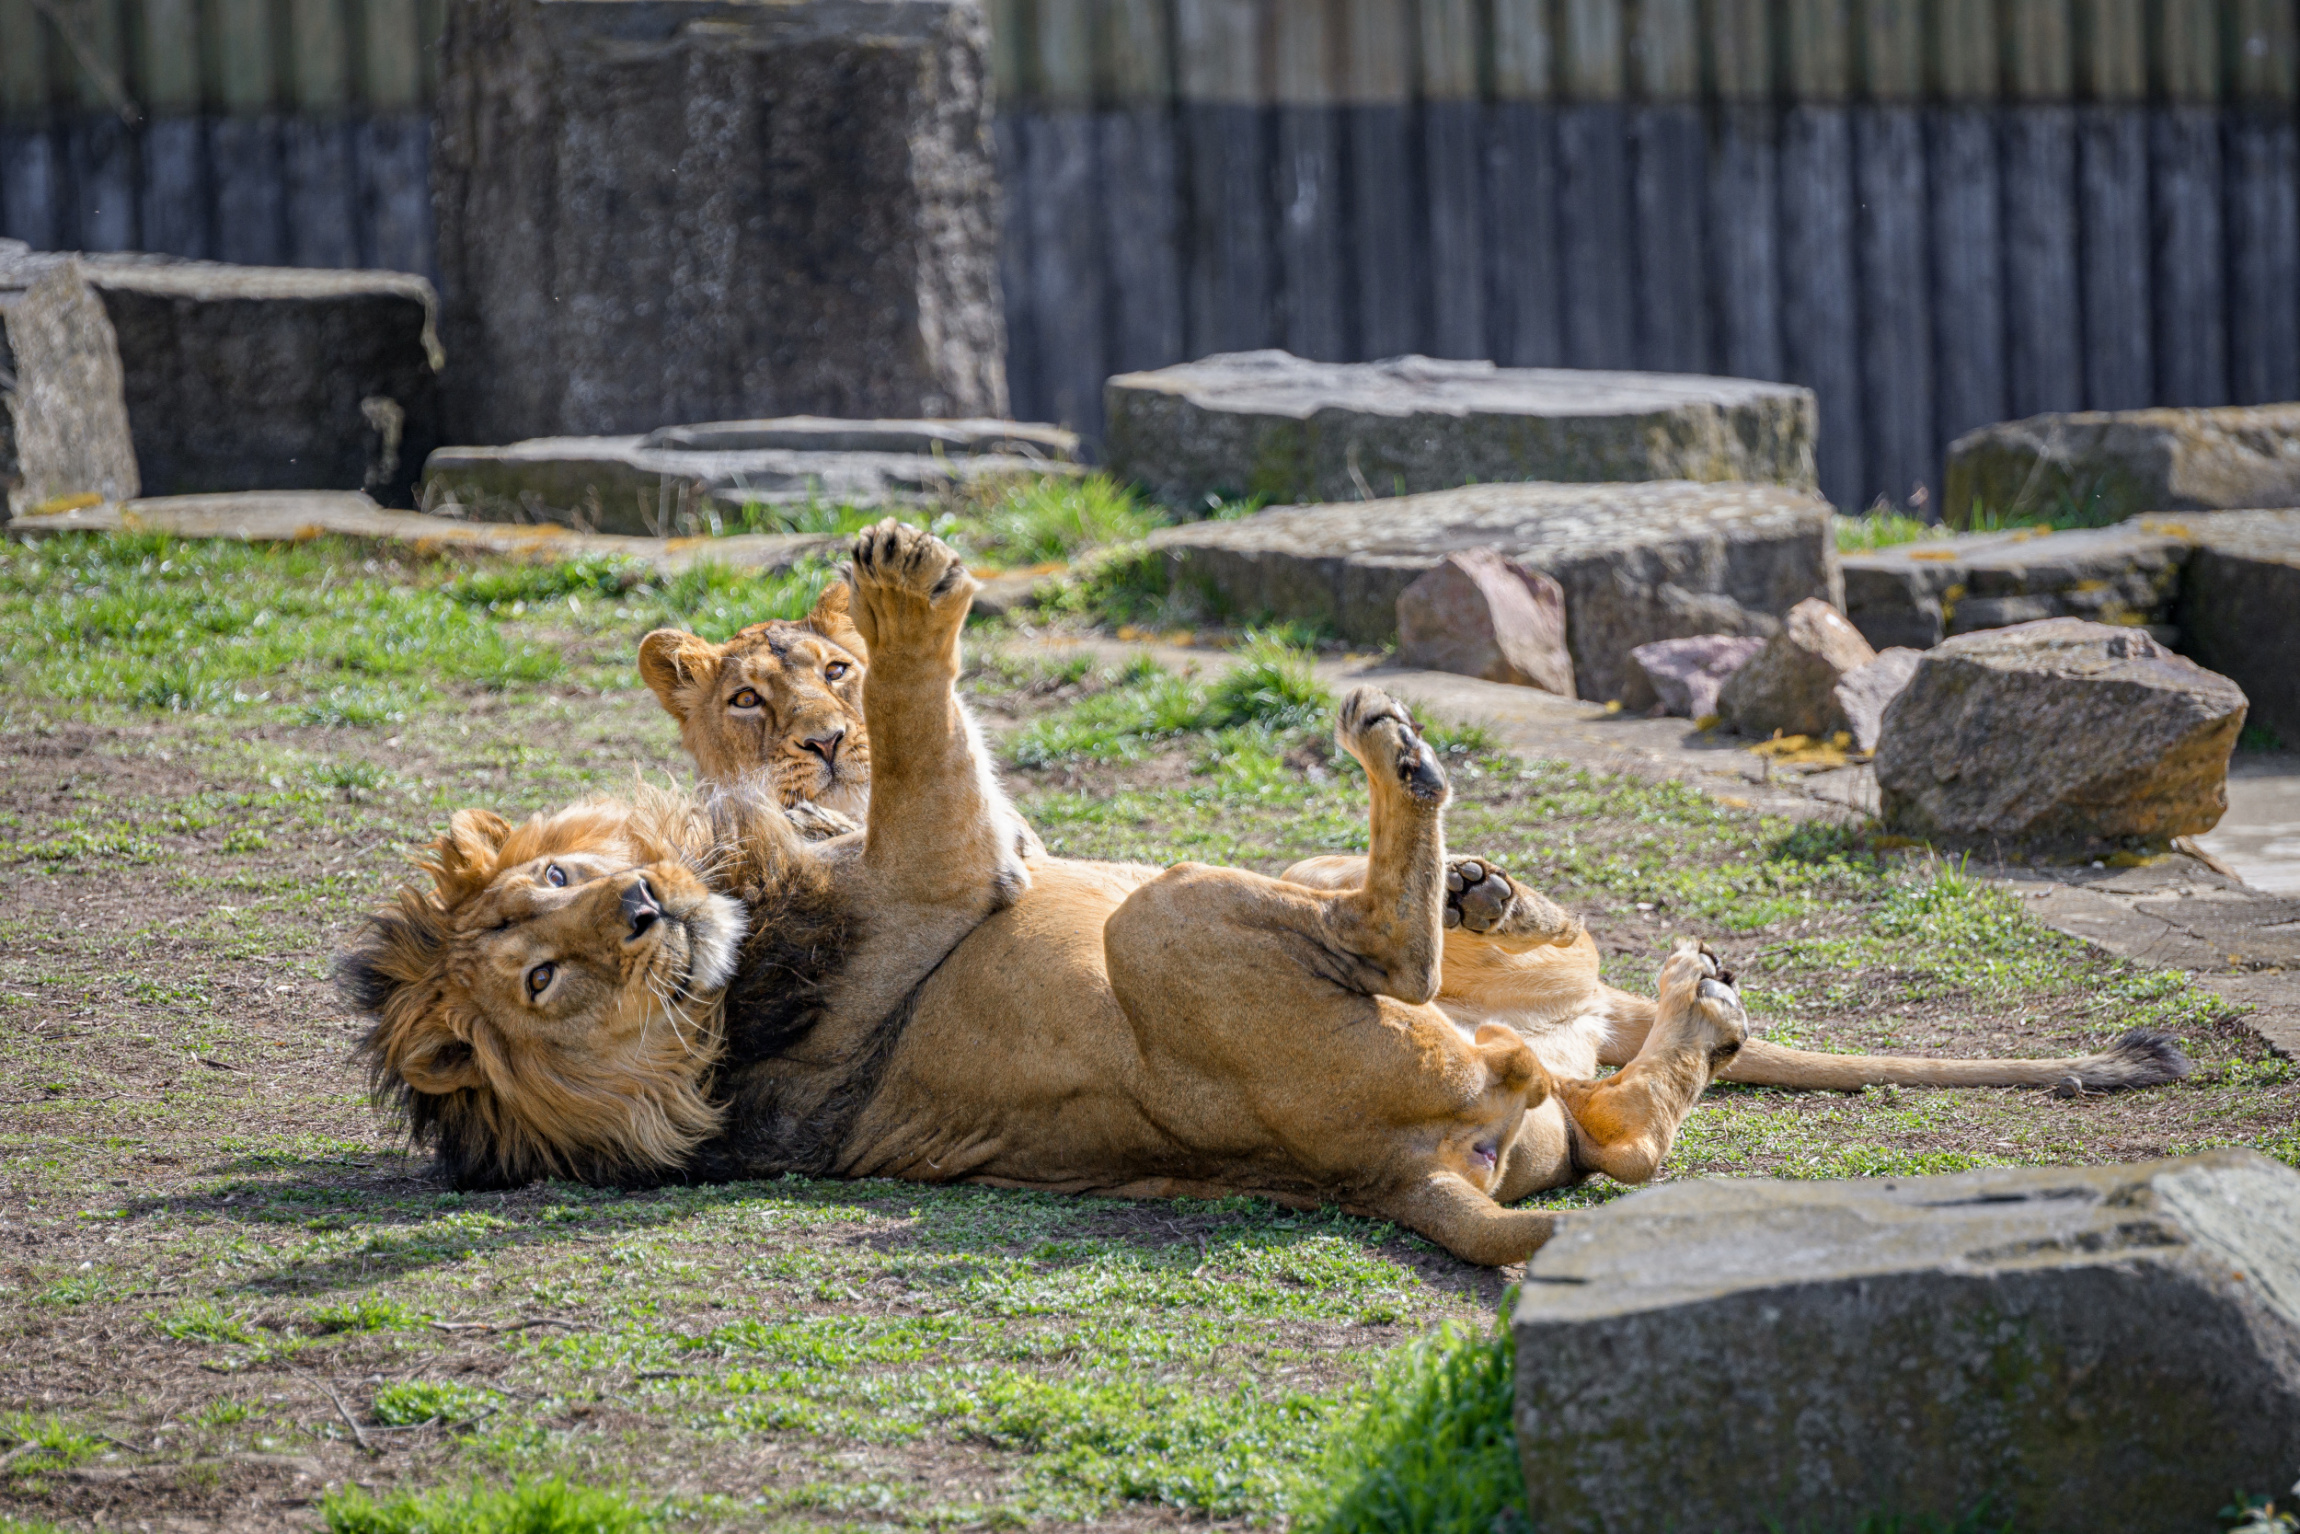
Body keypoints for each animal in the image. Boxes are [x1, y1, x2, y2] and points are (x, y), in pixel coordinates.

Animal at [333, 522, 1784, 1269]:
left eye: (559, 881)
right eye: (542, 977)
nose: (641, 911)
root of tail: (1392, 1178)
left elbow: (914, 736)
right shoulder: (947, 865)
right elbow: (925, 727)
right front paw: (900, 593)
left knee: (1617, 1124)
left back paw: (1641, 973)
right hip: (1178, 921)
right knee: (1419, 974)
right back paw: (1408, 770)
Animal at [630, 588, 2189, 1103]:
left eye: (839, 670)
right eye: (750, 696)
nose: (828, 740)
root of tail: (1587, 1019)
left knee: (1479, 903)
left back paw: (1482, 882)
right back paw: (1481, 891)